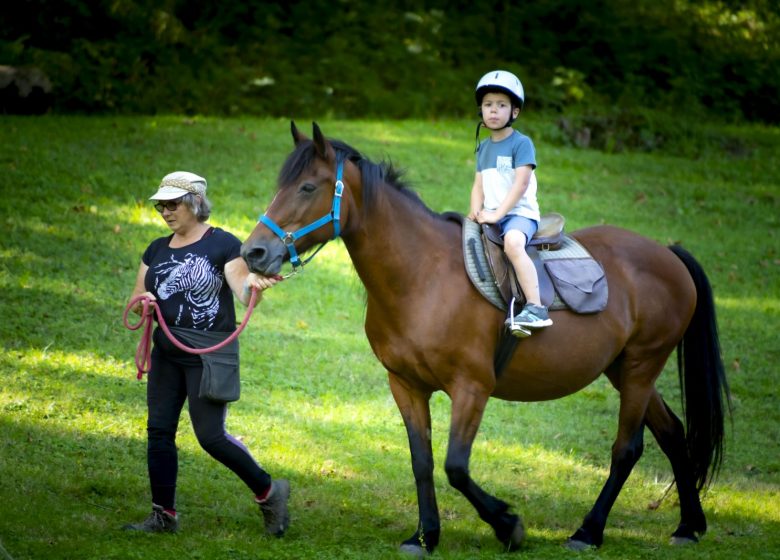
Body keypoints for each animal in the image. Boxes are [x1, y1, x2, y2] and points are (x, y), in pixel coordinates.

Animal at [241, 123, 728, 556]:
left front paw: (508, 525)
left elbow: (456, 466)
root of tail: (667, 253)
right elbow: (422, 462)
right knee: (673, 433)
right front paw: (425, 536)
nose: (253, 252)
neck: (423, 276)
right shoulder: (405, 386)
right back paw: (689, 525)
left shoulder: (472, 387)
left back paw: (588, 532)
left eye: (307, 187)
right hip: (624, 370)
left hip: (642, 367)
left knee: (627, 449)